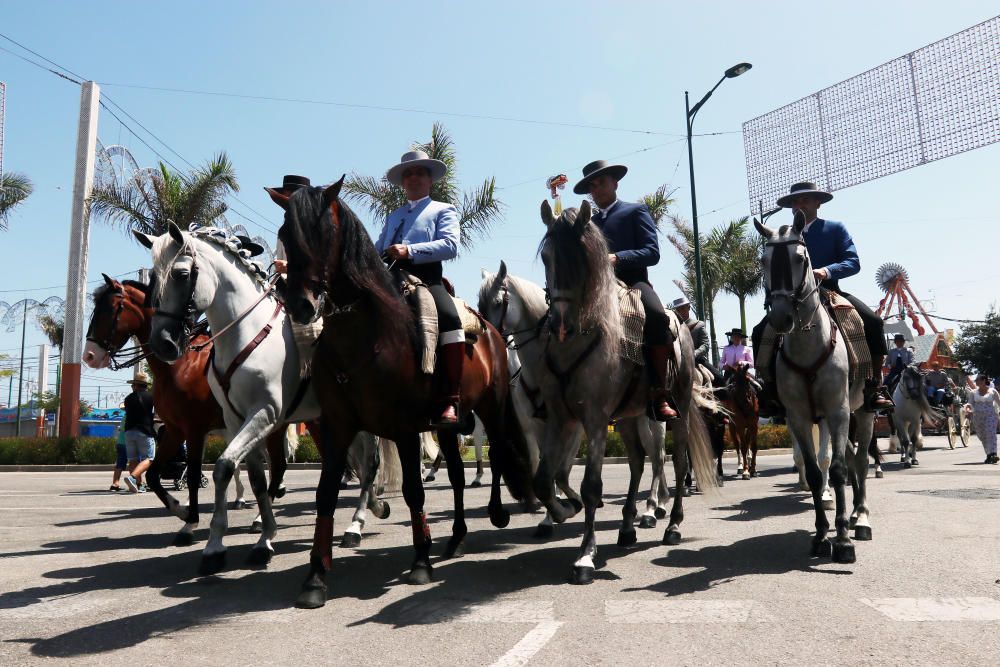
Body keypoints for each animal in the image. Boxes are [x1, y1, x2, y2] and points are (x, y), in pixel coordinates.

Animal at [82, 274, 290, 544]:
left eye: (112, 308)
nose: (89, 355)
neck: (181, 364)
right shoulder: (174, 430)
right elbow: (154, 475)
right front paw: (180, 510)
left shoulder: (194, 431)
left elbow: (192, 475)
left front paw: (190, 522)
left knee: (278, 466)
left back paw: (260, 519)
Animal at [266, 177, 532, 612]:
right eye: (286, 234)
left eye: (325, 233)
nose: (301, 305)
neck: (363, 335)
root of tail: (491, 331)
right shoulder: (337, 426)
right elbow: (325, 494)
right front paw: (315, 576)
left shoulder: (405, 428)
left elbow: (413, 491)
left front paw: (421, 561)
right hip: (448, 422)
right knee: (457, 474)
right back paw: (456, 537)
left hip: (491, 409)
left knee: (497, 452)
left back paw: (496, 513)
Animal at [536, 200, 716, 584]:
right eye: (546, 257)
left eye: (581, 259)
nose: (559, 325)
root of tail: (682, 326)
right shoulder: (560, 418)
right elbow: (544, 479)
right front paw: (562, 511)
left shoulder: (594, 419)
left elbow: (591, 487)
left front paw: (585, 556)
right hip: (630, 416)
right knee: (636, 462)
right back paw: (628, 527)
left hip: (675, 410)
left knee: (677, 462)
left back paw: (672, 525)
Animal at [756, 214, 876, 564]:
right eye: (764, 260)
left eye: (801, 258)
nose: (781, 317)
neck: (809, 344)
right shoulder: (798, 416)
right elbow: (812, 472)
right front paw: (822, 535)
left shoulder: (837, 411)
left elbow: (836, 469)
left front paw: (844, 541)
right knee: (850, 458)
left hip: (863, 412)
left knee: (860, 461)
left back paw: (861, 518)